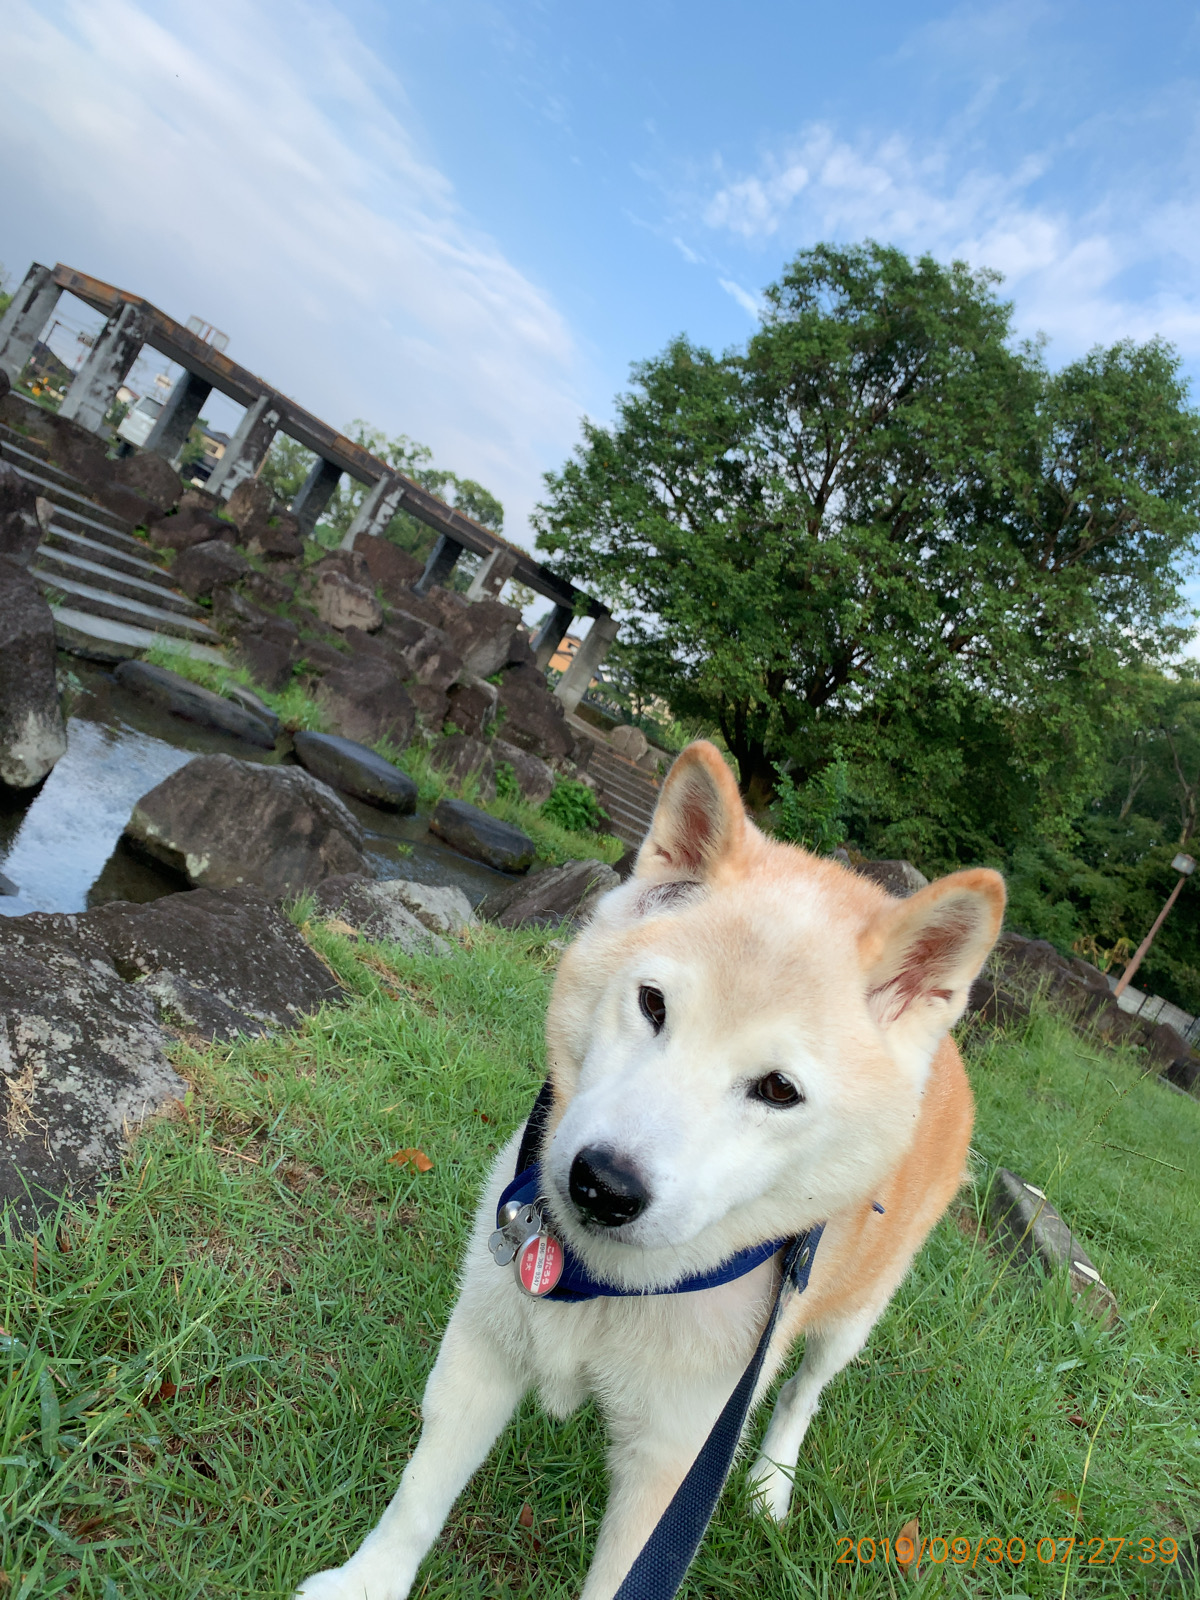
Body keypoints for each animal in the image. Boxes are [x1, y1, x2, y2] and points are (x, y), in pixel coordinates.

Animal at [296, 741, 1004, 1600]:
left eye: (779, 1090)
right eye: (653, 1004)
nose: (602, 1185)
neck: (600, 1280)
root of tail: (954, 1060)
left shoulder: (675, 1463)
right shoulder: (484, 1343)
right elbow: (418, 1497)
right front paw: (365, 1583)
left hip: (854, 1312)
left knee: (804, 1392)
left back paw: (772, 1482)